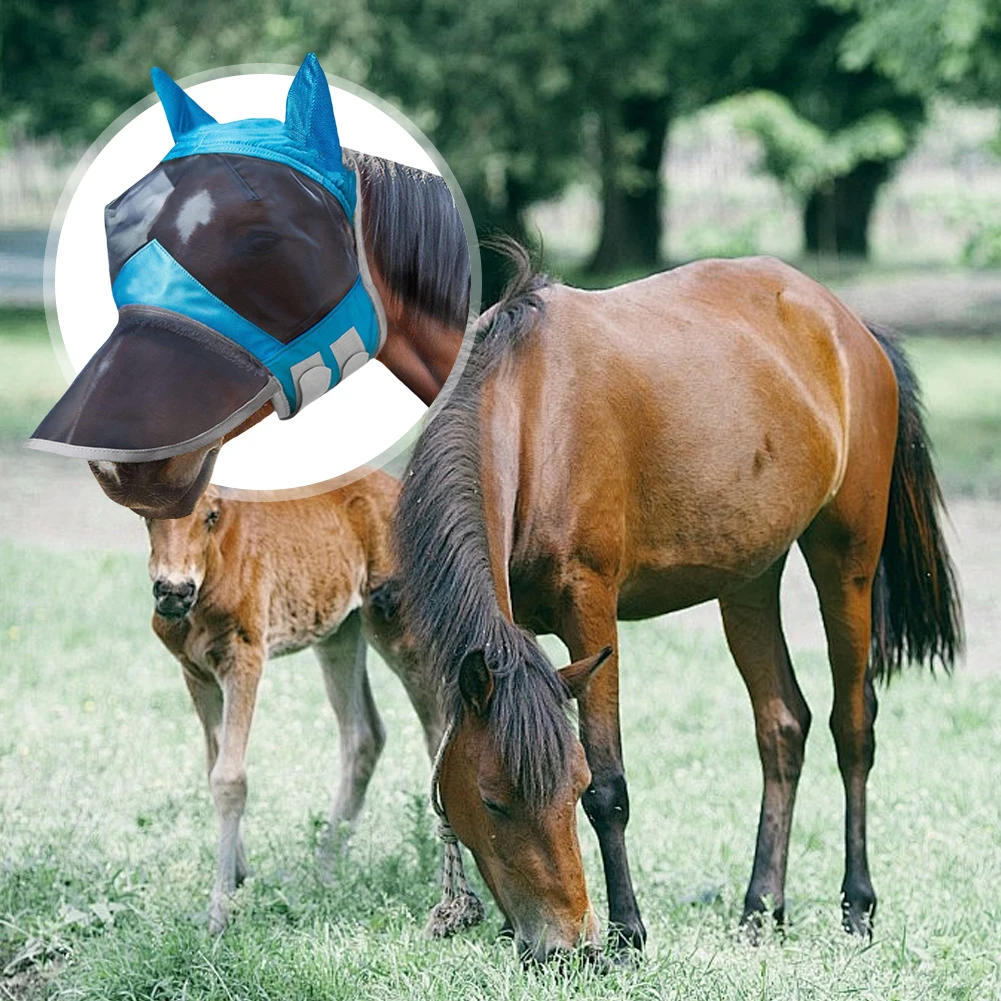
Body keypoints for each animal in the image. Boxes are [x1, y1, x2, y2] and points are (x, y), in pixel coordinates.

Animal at [145, 468, 458, 934]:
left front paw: (220, 910)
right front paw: (239, 876)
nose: (172, 590)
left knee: (435, 732)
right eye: (147, 516)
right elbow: (213, 766)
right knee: (364, 735)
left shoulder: (245, 657)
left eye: (211, 515)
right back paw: (324, 870)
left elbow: (230, 778)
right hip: (340, 632)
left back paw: (444, 884)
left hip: (398, 629)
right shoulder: (195, 672)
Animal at [392, 244, 962, 963]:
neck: (531, 414)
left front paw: (628, 933)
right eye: (492, 802)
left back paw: (856, 906)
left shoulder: (590, 608)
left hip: (845, 561)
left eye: (571, 788)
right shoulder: (514, 631)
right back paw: (760, 908)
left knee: (851, 726)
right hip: (748, 578)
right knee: (782, 725)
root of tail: (851, 327)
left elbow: (611, 785)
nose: (561, 947)